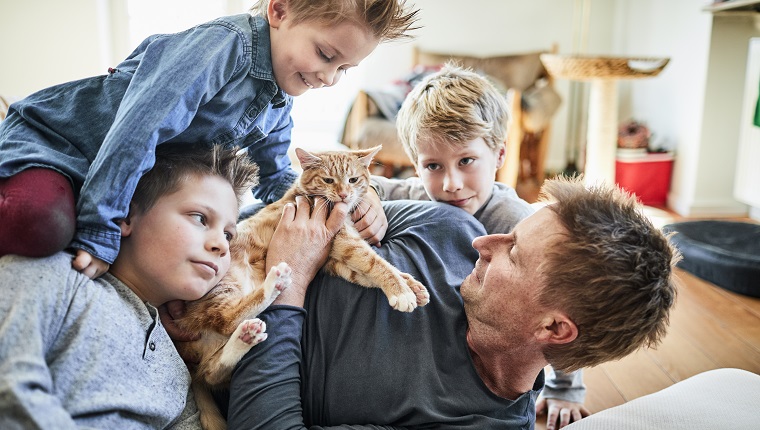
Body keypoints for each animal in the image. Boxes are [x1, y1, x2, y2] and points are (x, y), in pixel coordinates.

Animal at [175, 145, 430, 430]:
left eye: (353, 180)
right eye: (329, 180)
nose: (344, 194)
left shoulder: (334, 261)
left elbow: (370, 272)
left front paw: (412, 286)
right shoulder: (344, 244)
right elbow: (377, 264)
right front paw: (401, 292)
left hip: (216, 353)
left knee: (213, 370)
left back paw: (245, 337)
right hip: (223, 285)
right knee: (225, 319)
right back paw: (272, 286)